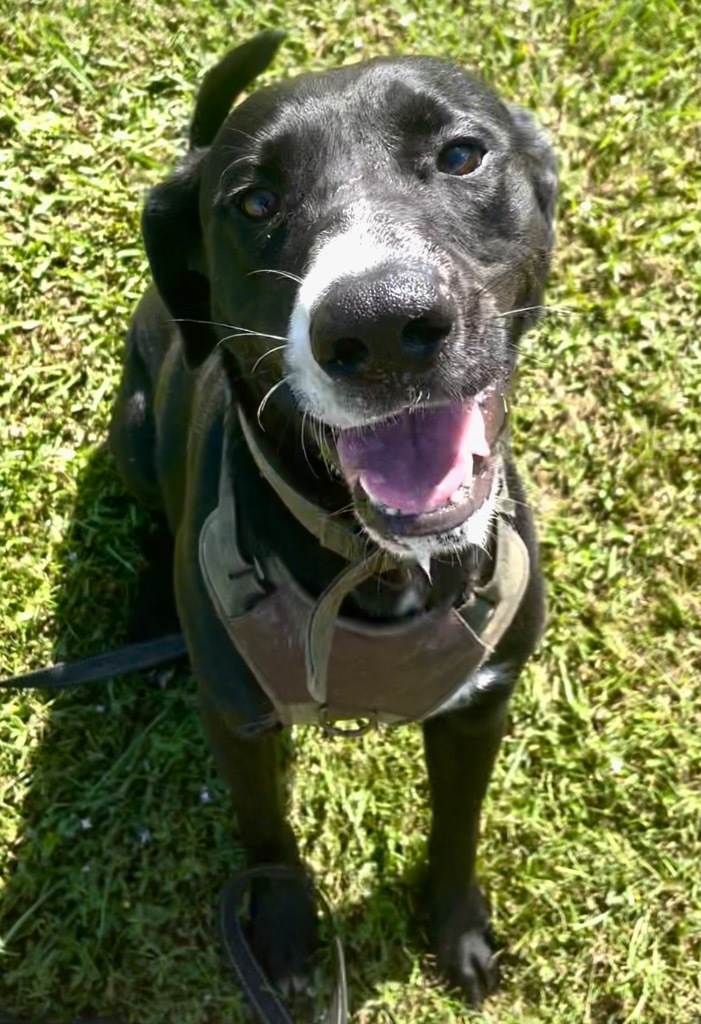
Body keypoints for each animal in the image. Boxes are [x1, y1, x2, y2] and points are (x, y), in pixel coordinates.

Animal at [109, 29, 556, 1007]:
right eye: (254, 200)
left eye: (460, 155)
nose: (380, 327)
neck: (376, 563)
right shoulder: (237, 722)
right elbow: (269, 839)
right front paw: (282, 940)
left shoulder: (480, 705)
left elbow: (458, 827)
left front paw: (457, 932)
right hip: (130, 430)